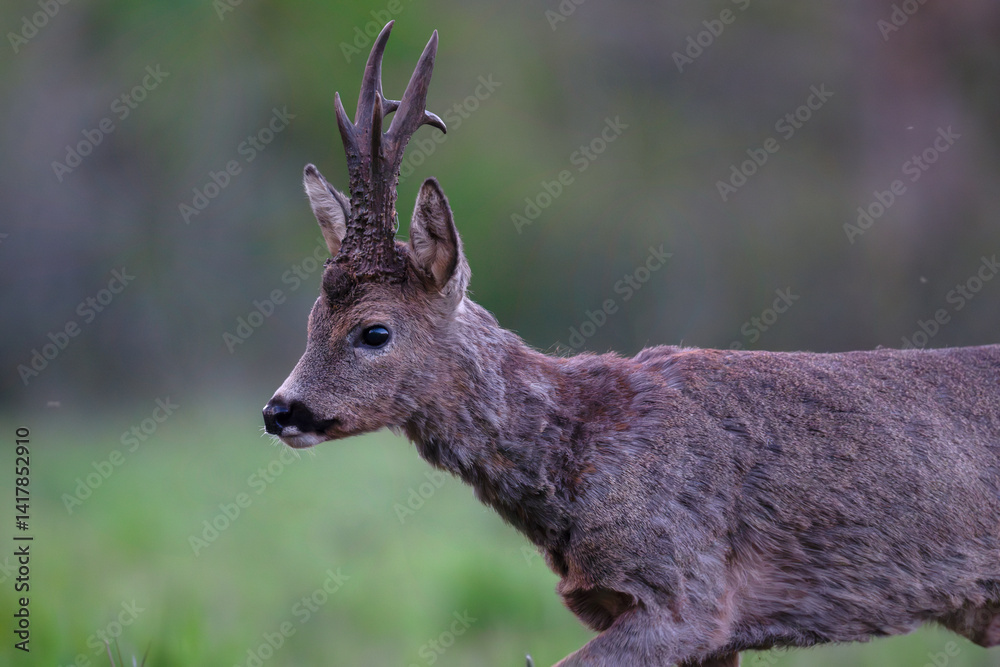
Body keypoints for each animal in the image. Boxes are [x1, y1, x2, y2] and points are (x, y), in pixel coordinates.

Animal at [262, 21, 1000, 667]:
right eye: (310, 319)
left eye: (375, 330)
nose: (279, 410)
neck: (578, 451)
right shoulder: (691, 623)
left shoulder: (687, 594)